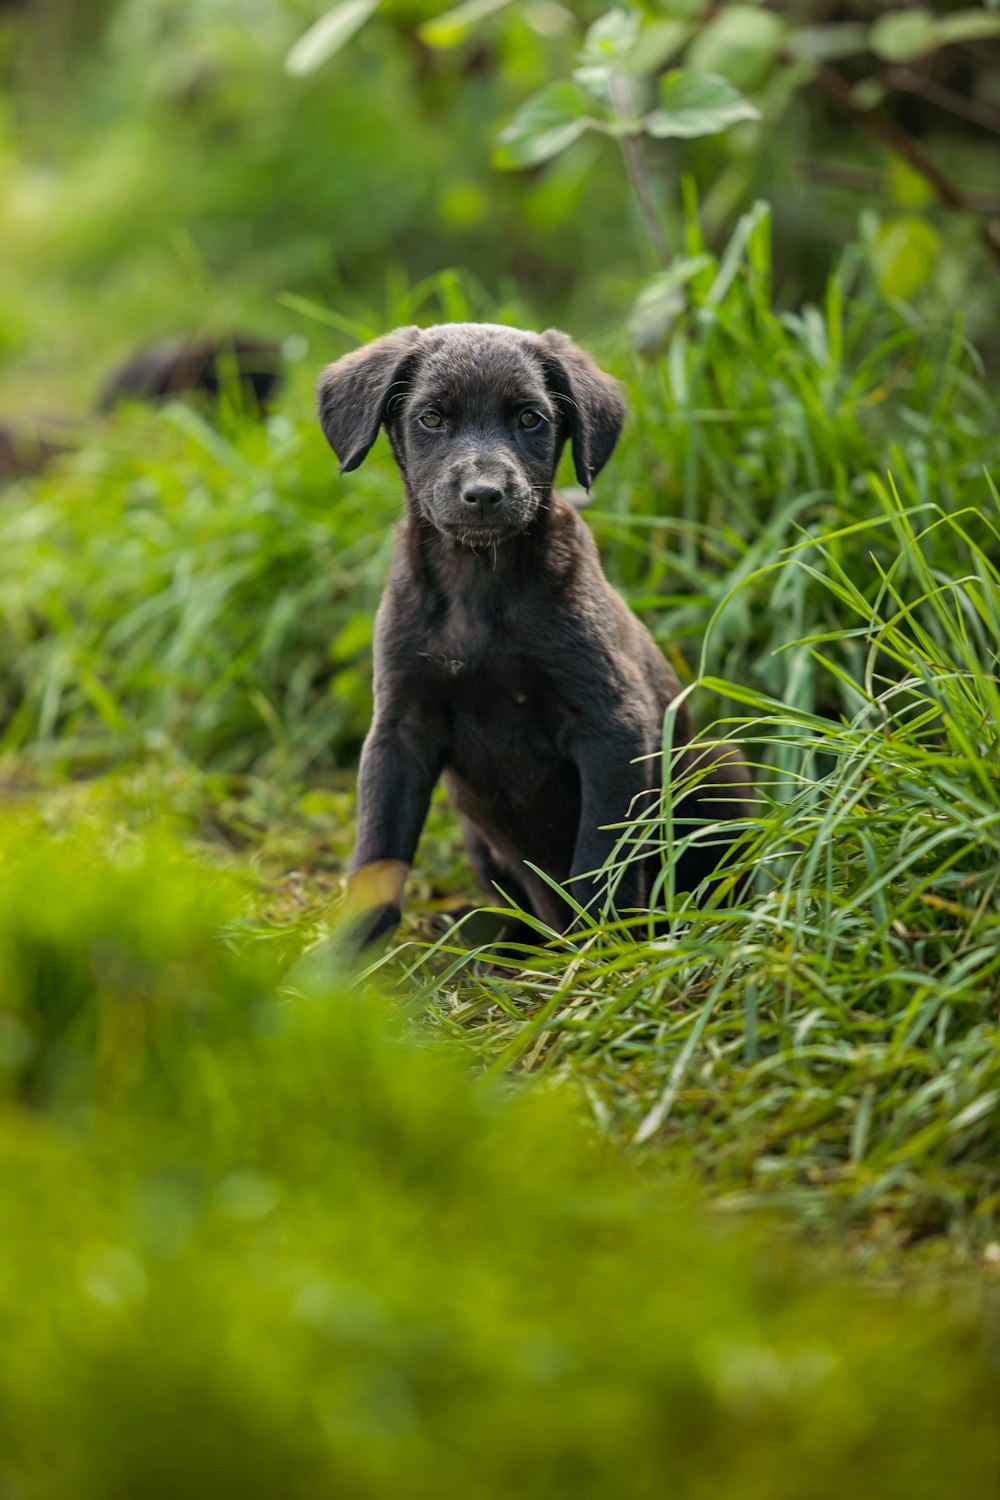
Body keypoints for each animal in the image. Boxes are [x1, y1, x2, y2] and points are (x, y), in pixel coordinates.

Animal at [320, 322, 749, 942]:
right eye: (431, 418)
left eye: (530, 419)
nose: (483, 494)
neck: (480, 584)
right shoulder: (399, 732)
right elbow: (376, 859)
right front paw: (341, 958)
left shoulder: (614, 725)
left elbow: (600, 862)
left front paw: (600, 952)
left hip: (714, 760)